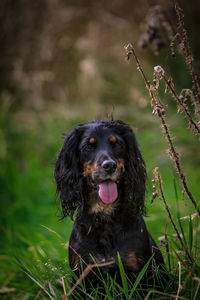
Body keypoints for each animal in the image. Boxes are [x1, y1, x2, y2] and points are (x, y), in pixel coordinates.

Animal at [54, 119, 166, 292]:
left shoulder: (139, 273)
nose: (109, 166)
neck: (105, 216)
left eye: (117, 144)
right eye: (88, 146)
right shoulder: (82, 273)